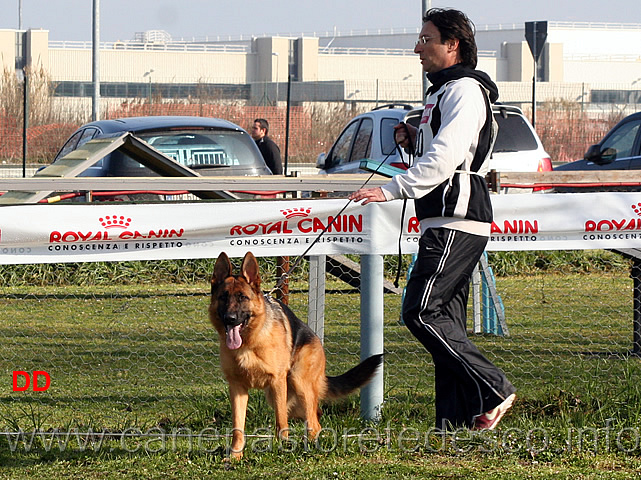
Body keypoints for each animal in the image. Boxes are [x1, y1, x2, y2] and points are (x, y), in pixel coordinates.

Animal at [210, 251, 382, 458]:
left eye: (243, 297)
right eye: (223, 297)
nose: (230, 319)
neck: (250, 342)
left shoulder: (277, 382)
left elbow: (280, 420)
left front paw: (283, 447)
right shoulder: (237, 388)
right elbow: (237, 426)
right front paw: (235, 455)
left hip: (299, 384)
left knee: (313, 422)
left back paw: (313, 447)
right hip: (288, 398)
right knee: (316, 415)